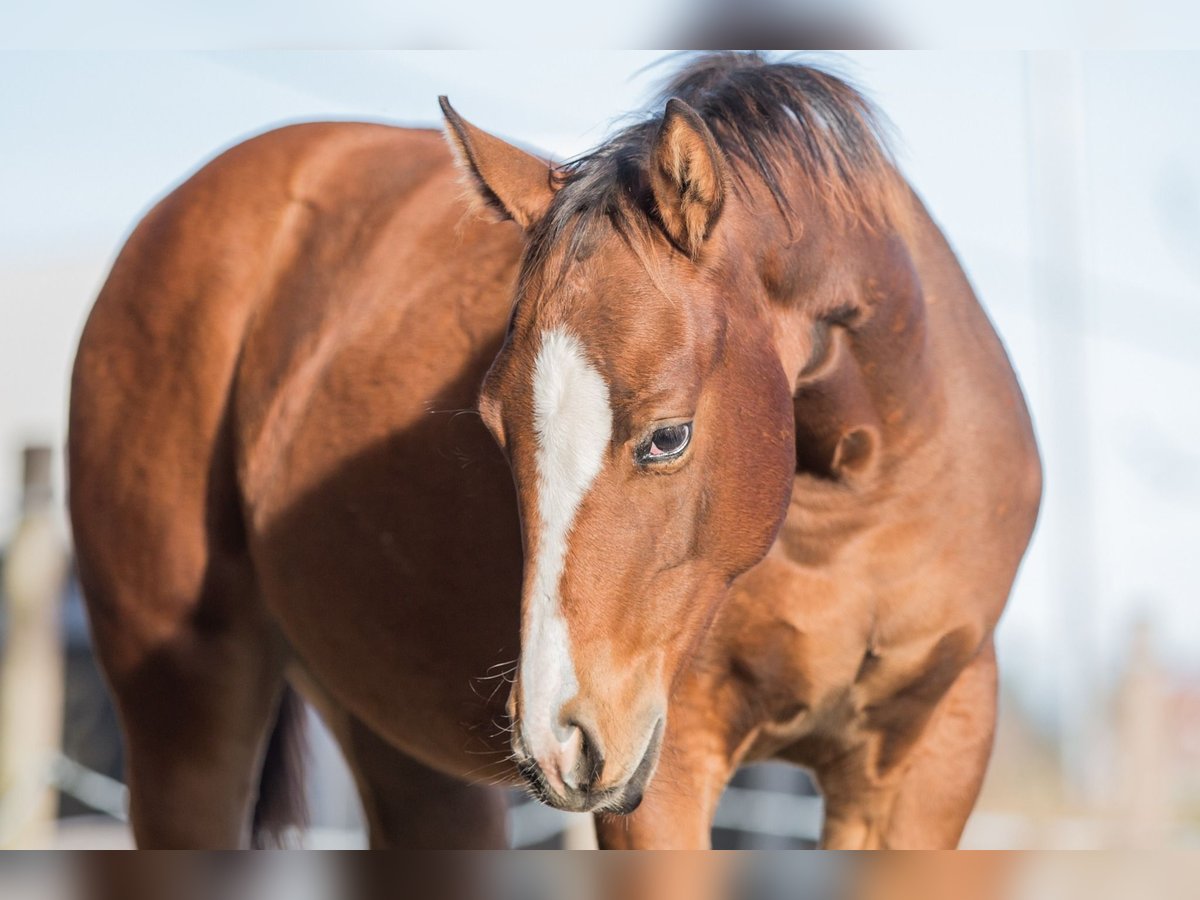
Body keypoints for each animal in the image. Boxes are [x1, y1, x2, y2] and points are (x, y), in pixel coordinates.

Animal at [68, 52, 1041, 849]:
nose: (556, 736)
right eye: (495, 427)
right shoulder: (668, 765)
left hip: (404, 755)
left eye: (668, 435)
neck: (860, 499)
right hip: (187, 709)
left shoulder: (929, 764)